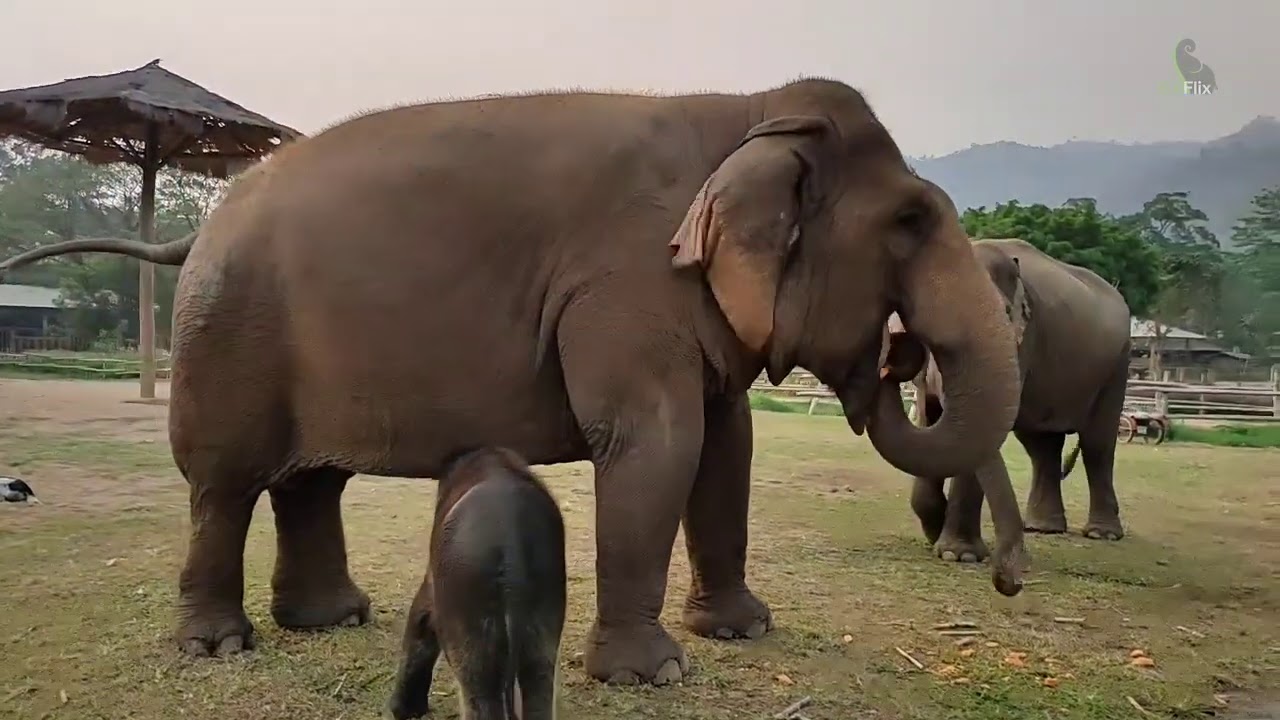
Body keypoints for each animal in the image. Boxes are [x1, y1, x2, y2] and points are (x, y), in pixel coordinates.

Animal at [0, 79, 1026, 686]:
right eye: (908, 222)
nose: (898, 356)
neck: (746, 113)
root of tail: (197, 228)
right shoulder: (626, 282)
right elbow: (656, 443)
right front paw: (651, 676)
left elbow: (725, 449)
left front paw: (742, 633)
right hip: (224, 332)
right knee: (224, 485)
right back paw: (218, 647)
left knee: (310, 480)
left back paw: (332, 622)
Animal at [894, 238, 1131, 563]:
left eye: (1003, 314)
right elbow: (929, 421)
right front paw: (936, 533)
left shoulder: (1021, 342)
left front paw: (960, 555)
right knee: (1042, 445)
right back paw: (1042, 528)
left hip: (1117, 365)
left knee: (1098, 442)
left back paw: (1101, 534)